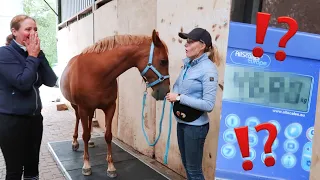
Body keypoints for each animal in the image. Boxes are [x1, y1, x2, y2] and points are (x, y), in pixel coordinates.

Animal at [59, 29, 170, 177]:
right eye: (163, 61)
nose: (166, 91)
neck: (97, 73)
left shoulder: (110, 107)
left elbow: (108, 135)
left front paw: (111, 166)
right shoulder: (83, 108)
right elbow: (85, 135)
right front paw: (86, 165)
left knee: (89, 121)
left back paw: (90, 142)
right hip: (76, 106)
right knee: (78, 120)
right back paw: (75, 142)